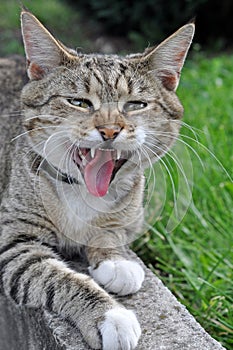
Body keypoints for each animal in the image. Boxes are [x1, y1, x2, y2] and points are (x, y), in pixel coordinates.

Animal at [0, 8, 194, 350]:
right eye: (79, 102)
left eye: (135, 105)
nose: (109, 130)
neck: (82, 191)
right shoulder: (14, 240)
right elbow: (56, 278)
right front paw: (108, 315)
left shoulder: (131, 213)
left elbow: (113, 231)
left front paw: (114, 260)